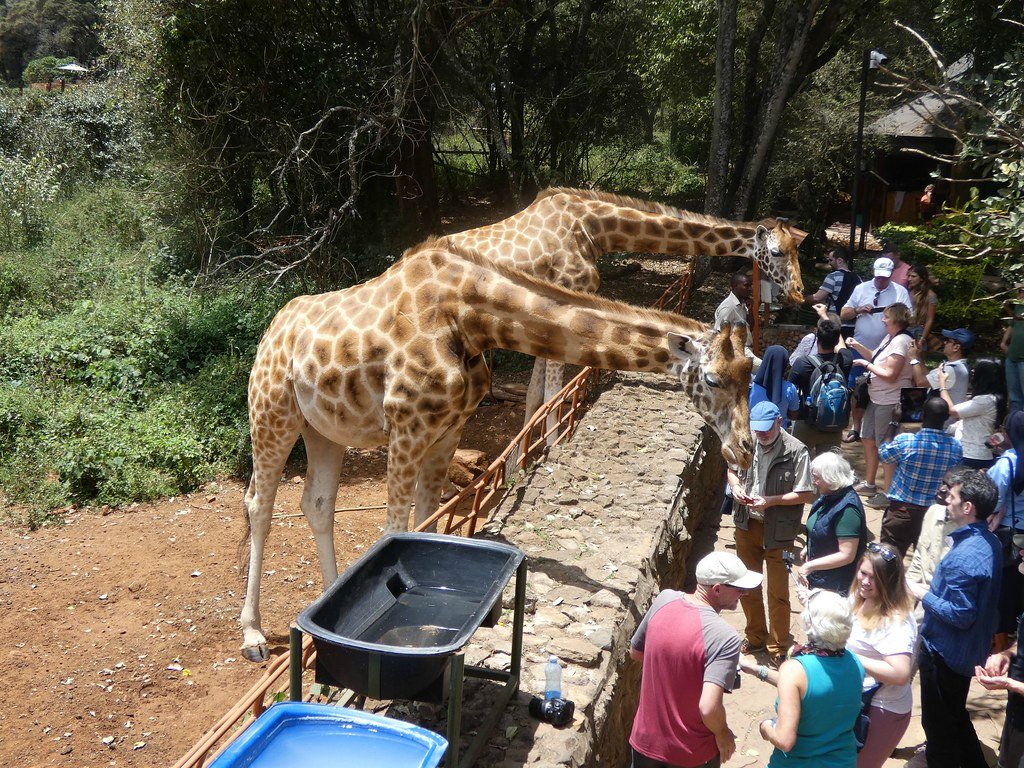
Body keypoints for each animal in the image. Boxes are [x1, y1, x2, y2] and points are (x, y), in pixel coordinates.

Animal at [239, 240, 753, 663]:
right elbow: (395, 528)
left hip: (324, 428)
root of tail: (270, 330)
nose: (744, 451)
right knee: (259, 504)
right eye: (712, 379)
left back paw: (329, 600)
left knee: (317, 503)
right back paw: (253, 636)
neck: (470, 320)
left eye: (751, 372)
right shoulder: (406, 427)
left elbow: (427, 524)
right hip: (272, 412)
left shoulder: (448, 429)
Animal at [444, 187, 802, 436]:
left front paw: (518, 467)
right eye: (776, 252)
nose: (799, 292)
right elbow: (552, 396)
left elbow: (535, 397)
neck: (594, 229)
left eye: (796, 249)